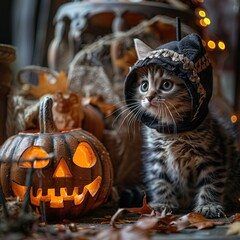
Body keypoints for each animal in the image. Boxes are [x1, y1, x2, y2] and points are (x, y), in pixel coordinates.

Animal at [124, 32, 240, 218]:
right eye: (144, 86)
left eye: (166, 85)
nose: (148, 97)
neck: (173, 131)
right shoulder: (157, 158)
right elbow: (160, 181)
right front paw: (163, 203)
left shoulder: (212, 156)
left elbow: (211, 183)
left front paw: (209, 205)